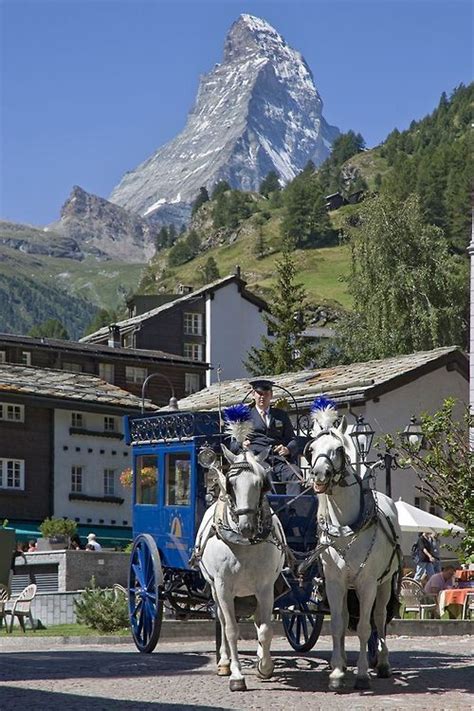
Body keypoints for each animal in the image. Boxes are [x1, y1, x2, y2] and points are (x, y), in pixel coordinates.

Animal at [193, 448, 286, 692]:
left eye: (262, 483)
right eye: (231, 484)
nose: (247, 527)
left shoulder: (265, 588)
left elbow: (265, 629)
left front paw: (265, 666)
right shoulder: (223, 587)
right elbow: (231, 630)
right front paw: (236, 675)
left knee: (257, 620)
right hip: (216, 590)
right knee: (223, 620)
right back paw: (224, 663)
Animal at [306, 418, 402, 688]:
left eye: (338, 449)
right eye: (311, 448)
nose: (319, 474)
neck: (346, 528)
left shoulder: (367, 584)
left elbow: (363, 628)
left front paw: (361, 675)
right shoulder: (334, 583)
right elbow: (338, 625)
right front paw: (338, 673)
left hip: (385, 583)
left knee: (378, 618)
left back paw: (382, 662)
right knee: (347, 616)